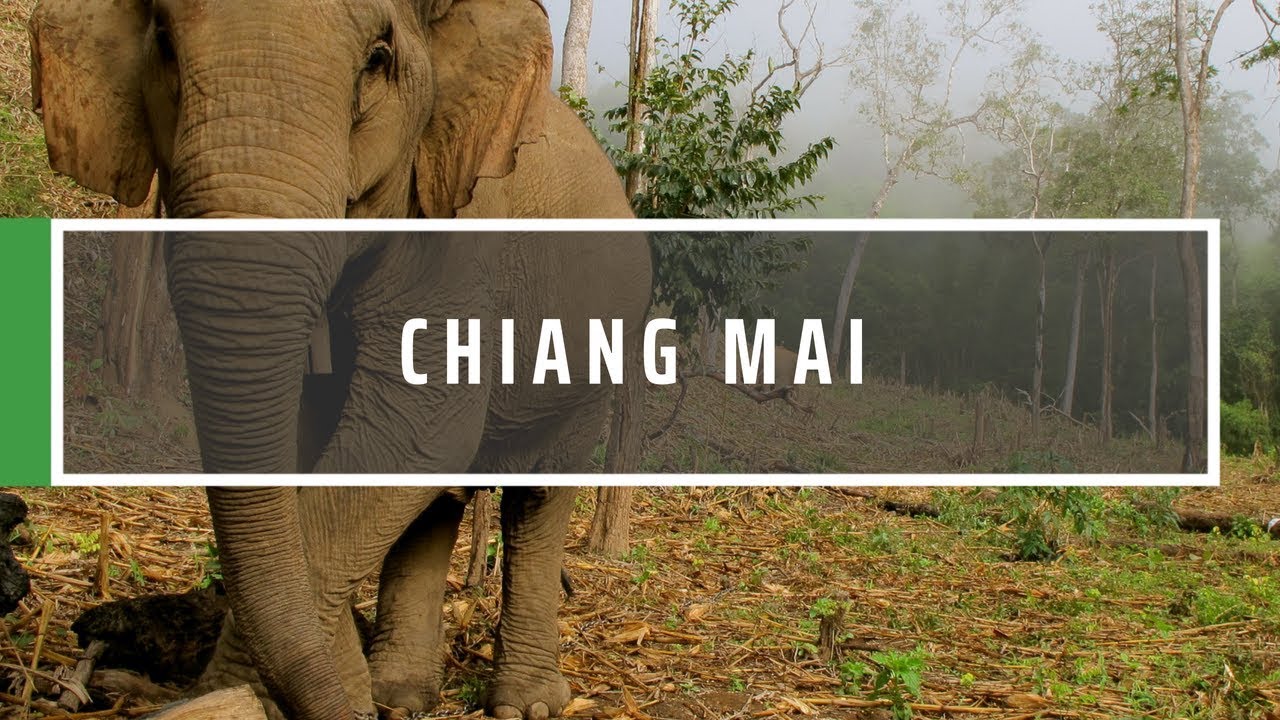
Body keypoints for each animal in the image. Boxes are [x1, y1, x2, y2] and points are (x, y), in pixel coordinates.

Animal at [30, 0, 652, 719]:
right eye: (162, 42)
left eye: (376, 61)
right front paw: (340, 689)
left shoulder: (462, 230)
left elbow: (422, 424)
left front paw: (239, 695)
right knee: (435, 503)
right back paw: (398, 695)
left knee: (537, 496)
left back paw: (527, 704)